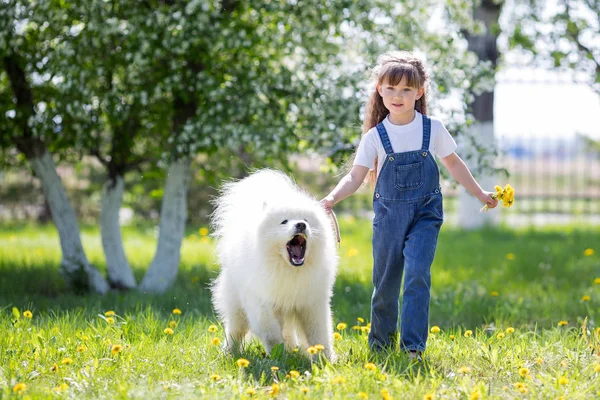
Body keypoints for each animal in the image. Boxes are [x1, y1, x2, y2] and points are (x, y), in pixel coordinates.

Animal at [212, 167, 340, 360]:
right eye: (284, 221)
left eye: (306, 220)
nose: (301, 225)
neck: (289, 269)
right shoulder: (262, 303)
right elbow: (271, 334)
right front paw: (278, 357)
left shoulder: (311, 303)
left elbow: (319, 334)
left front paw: (325, 359)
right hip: (237, 305)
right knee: (235, 330)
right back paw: (230, 352)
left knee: (288, 332)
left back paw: (293, 350)